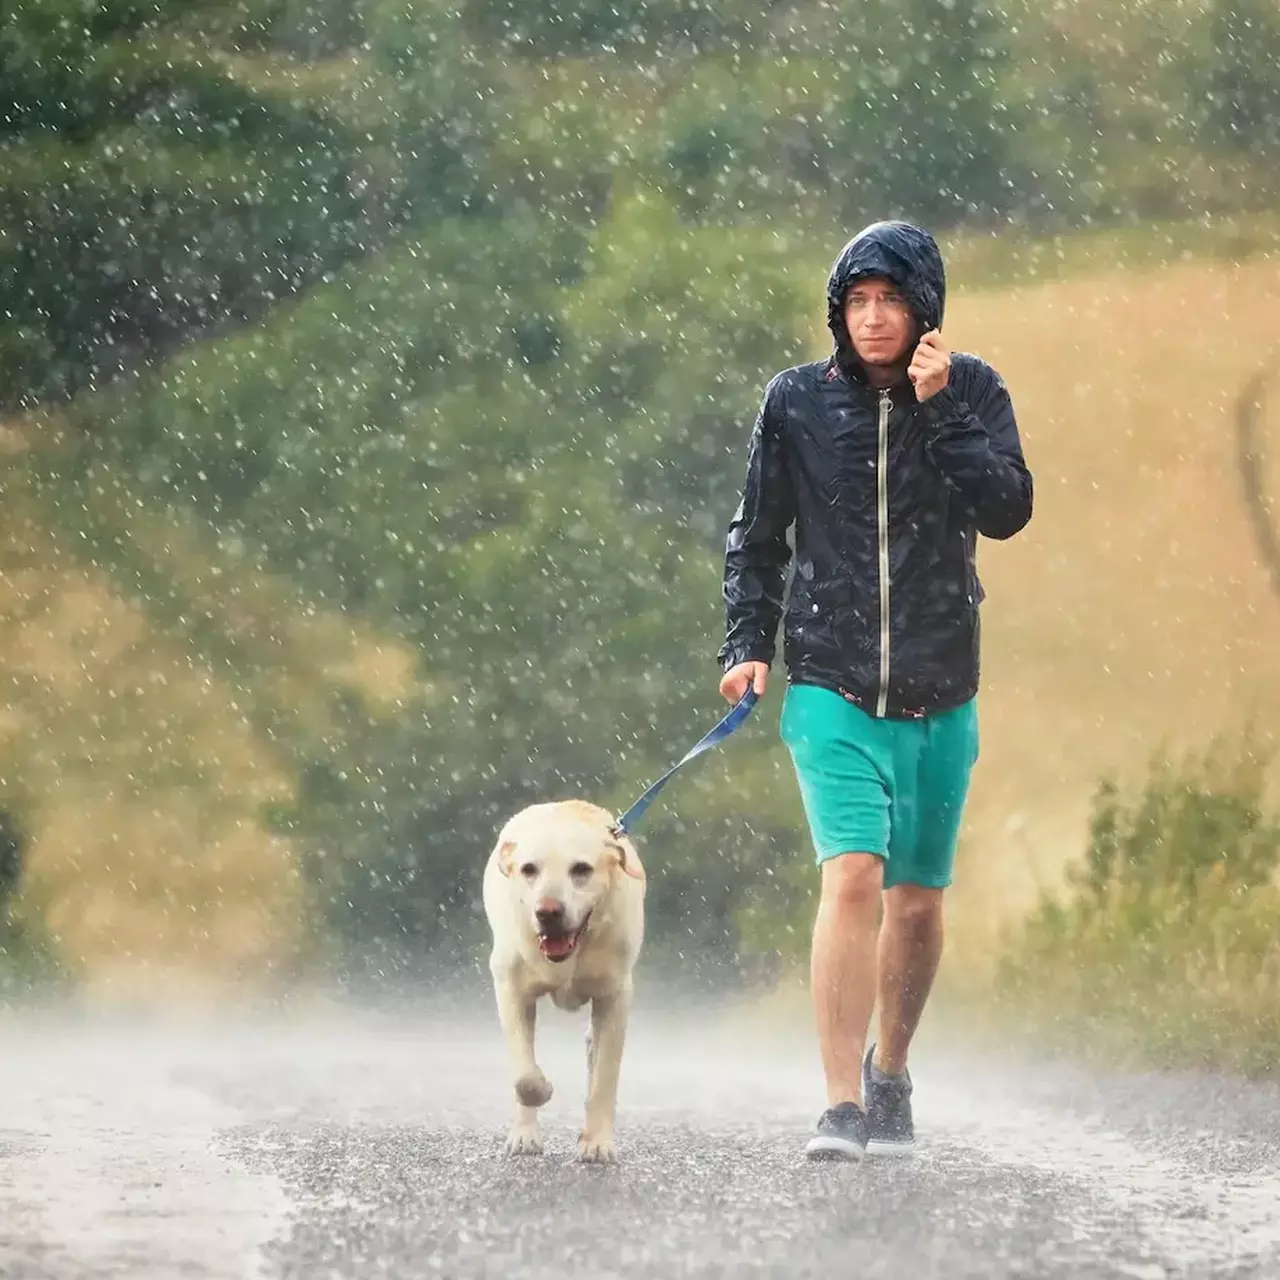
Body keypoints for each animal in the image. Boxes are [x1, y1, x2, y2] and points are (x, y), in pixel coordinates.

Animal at [481, 803, 645, 1167]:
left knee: (594, 1050)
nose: (548, 912)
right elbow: (525, 1077)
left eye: (581, 869)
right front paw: (539, 1099)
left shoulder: (615, 995)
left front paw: (597, 1143)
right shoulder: (510, 988)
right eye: (529, 869)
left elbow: (605, 1076)